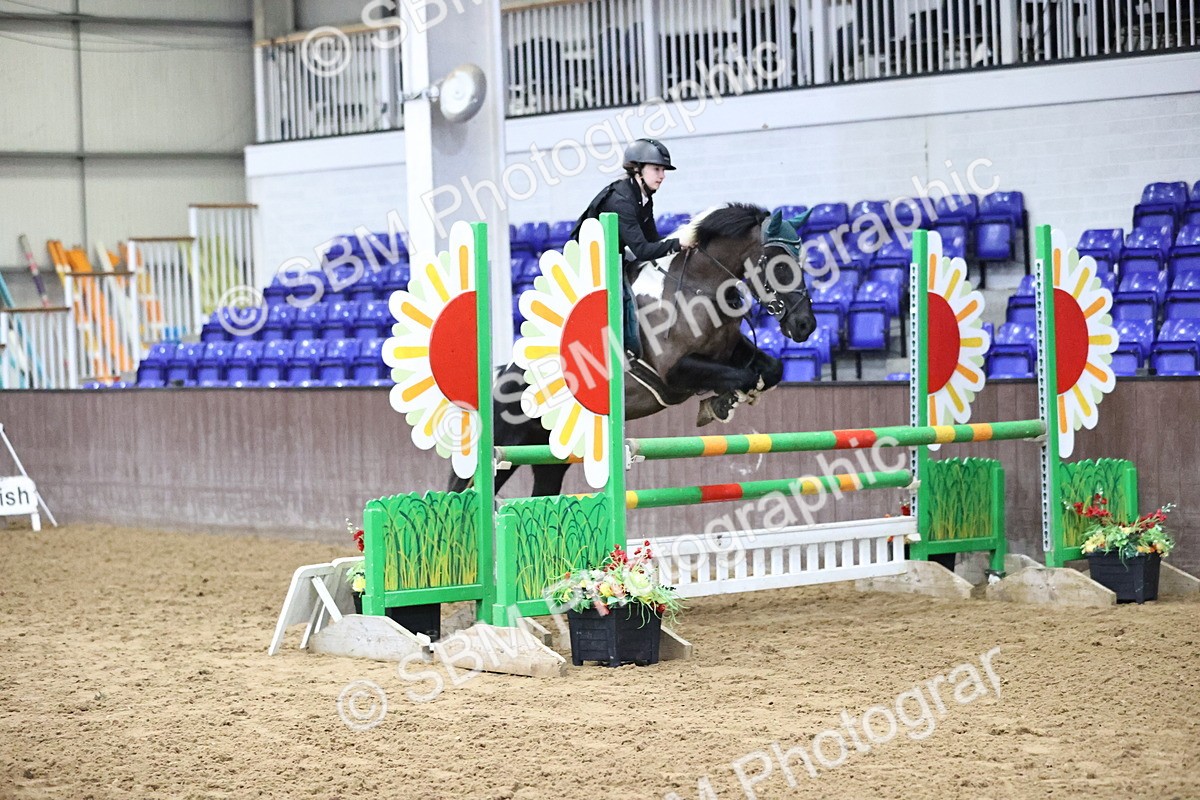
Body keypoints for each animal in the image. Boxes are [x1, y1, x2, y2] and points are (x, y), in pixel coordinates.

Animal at [451, 202, 816, 496]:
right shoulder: (675, 372)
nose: (806, 326)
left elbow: (769, 370)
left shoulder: (726, 351)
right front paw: (723, 402)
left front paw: (726, 401)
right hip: (504, 448)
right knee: (460, 490)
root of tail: (498, 378)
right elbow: (739, 375)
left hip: (550, 456)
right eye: (780, 265)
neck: (698, 286)